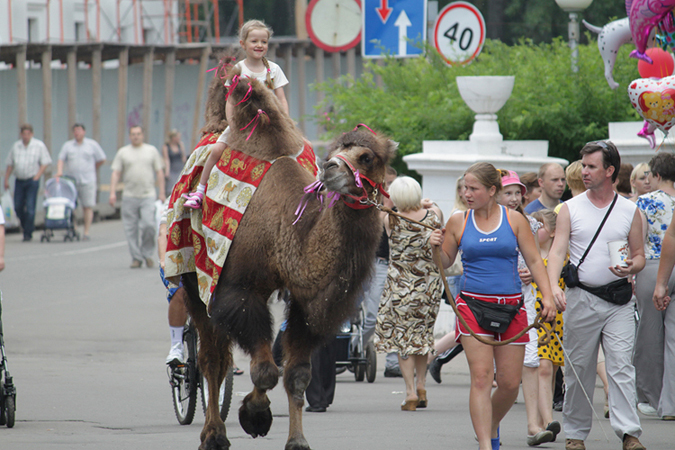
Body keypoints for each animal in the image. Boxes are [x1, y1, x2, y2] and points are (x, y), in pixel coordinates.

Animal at [180, 75, 398, 448]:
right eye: (333, 152)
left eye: (367, 156)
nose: (330, 169)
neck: (283, 230)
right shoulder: (238, 287)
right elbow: (266, 370)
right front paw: (255, 416)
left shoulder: (309, 302)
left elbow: (296, 374)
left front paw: (297, 440)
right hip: (195, 279)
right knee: (211, 358)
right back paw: (213, 435)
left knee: (221, 357)